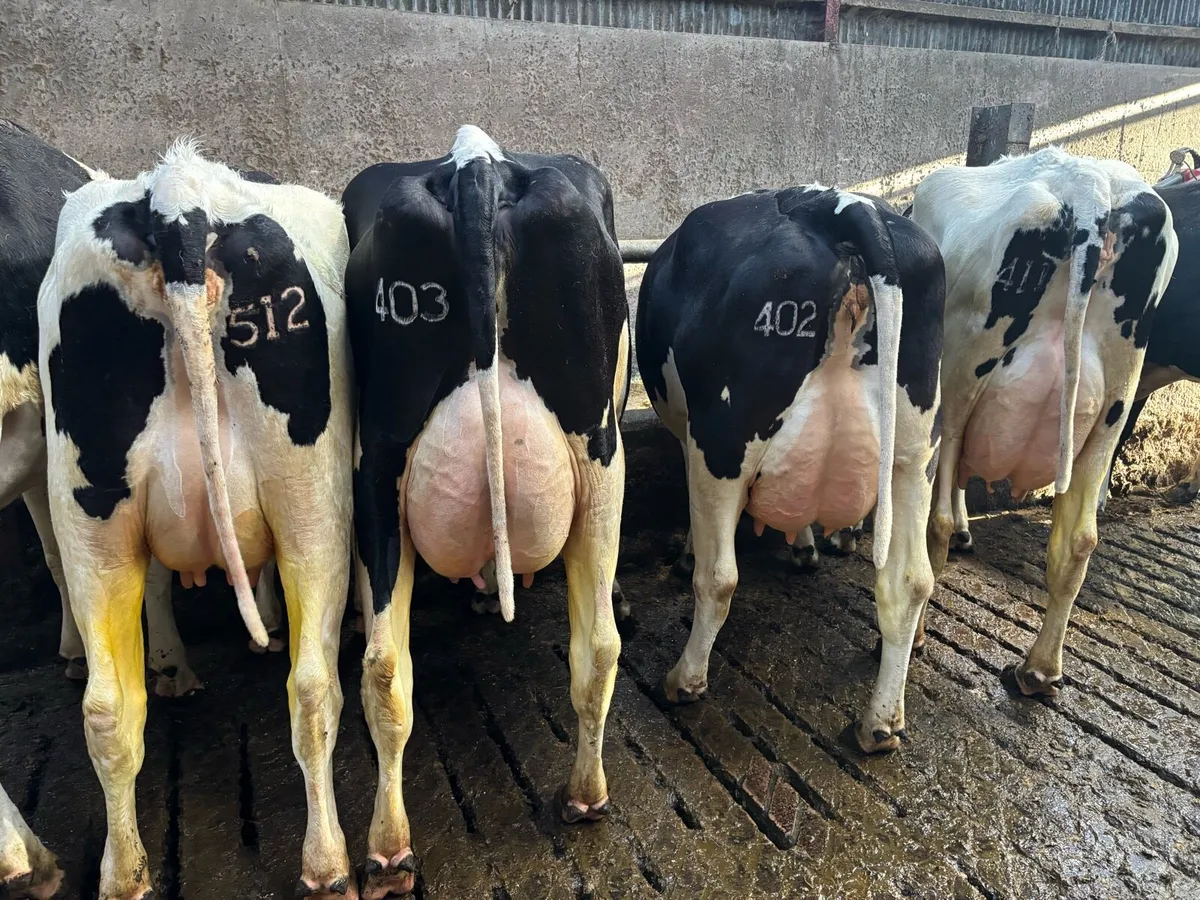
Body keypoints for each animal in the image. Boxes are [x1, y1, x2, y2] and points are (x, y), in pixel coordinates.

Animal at [38, 141, 354, 900]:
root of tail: (176, 192)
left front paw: (177, 663)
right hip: (312, 503)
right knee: (311, 688)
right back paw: (328, 863)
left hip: (91, 515)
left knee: (106, 709)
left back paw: (124, 873)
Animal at [342, 125, 628, 896]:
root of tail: (478, 164)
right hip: (600, 453)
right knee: (599, 646)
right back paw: (584, 798)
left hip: (379, 463)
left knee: (384, 664)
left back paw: (389, 850)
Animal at [637, 185, 945, 753]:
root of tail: (842, 205)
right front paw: (803, 546)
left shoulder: (697, 444)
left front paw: (688, 554)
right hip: (914, 455)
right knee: (911, 581)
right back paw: (881, 722)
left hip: (723, 443)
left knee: (720, 578)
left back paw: (685, 679)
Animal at [913, 146, 1178, 697]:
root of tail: (1088, 187)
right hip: (1113, 406)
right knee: (1078, 541)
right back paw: (1039, 669)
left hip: (960, 380)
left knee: (938, 522)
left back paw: (922, 634)